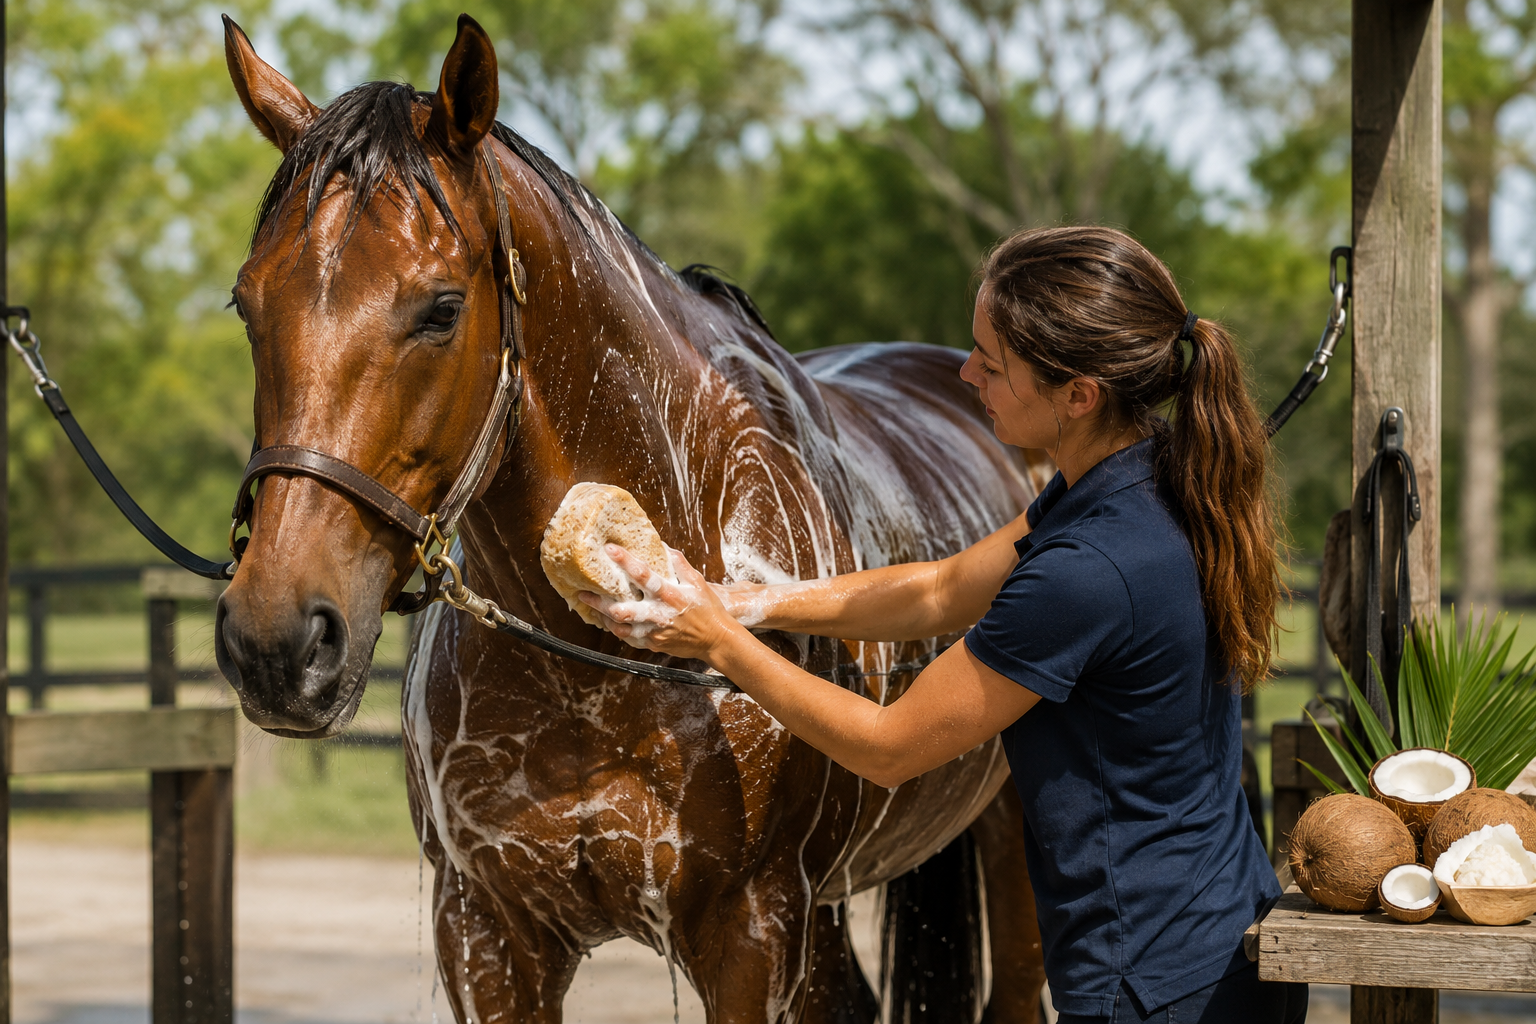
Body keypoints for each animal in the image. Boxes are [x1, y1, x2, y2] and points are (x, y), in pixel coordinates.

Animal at [214, 14, 1049, 1023]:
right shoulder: (486, 937)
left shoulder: (750, 935)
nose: (276, 643)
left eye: (442, 308)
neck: (590, 669)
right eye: (247, 303)